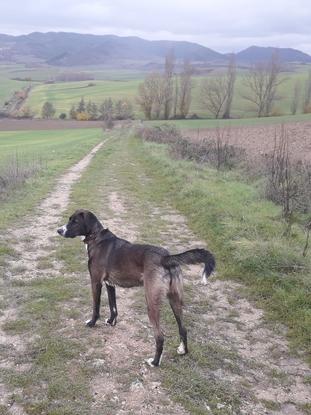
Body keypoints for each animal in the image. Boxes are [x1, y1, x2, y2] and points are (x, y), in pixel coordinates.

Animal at [57, 210, 216, 366]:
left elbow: (96, 307)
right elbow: (113, 307)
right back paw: (183, 351)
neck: (96, 237)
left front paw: (92, 323)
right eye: (69, 219)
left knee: (160, 336)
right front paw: (111, 322)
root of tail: (165, 258)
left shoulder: (96, 282)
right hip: (175, 299)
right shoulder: (110, 284)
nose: (58, 230)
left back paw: (155, 362)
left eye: (75, 221)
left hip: (151, 302)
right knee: (183, 329)